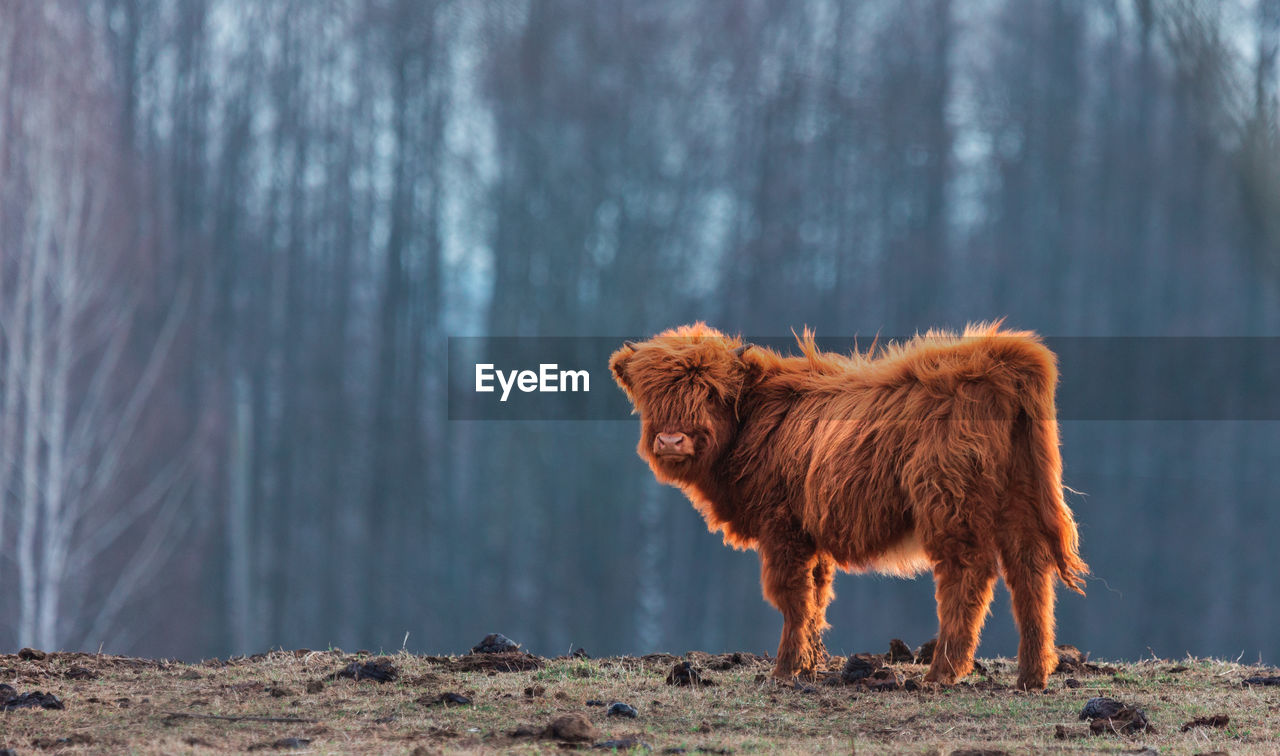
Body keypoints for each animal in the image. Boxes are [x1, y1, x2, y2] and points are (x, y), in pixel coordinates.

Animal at [611, 322, 1090, 690]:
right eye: (650, 394)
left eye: (709, 393)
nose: (671, 440)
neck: (754, 419)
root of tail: (998, 356)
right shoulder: (810, 534)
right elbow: (818, 596)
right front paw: (808, 665)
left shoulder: (781, 527)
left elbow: (792, 596)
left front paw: (784, 670)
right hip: (1020, 500)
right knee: (1030, 573)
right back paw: (1032, 676)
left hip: (950, 506)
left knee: (968, 575)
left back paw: (942, 673)